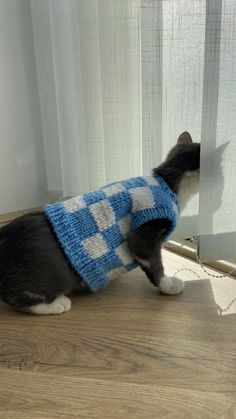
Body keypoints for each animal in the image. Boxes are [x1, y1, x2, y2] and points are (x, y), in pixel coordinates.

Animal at [0, 132, 200, 316]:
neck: (168, 181)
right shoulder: (143, 233)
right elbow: (154, 263)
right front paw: (168, 285)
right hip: (49, 275)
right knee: (14, 297)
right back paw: (56, 304)